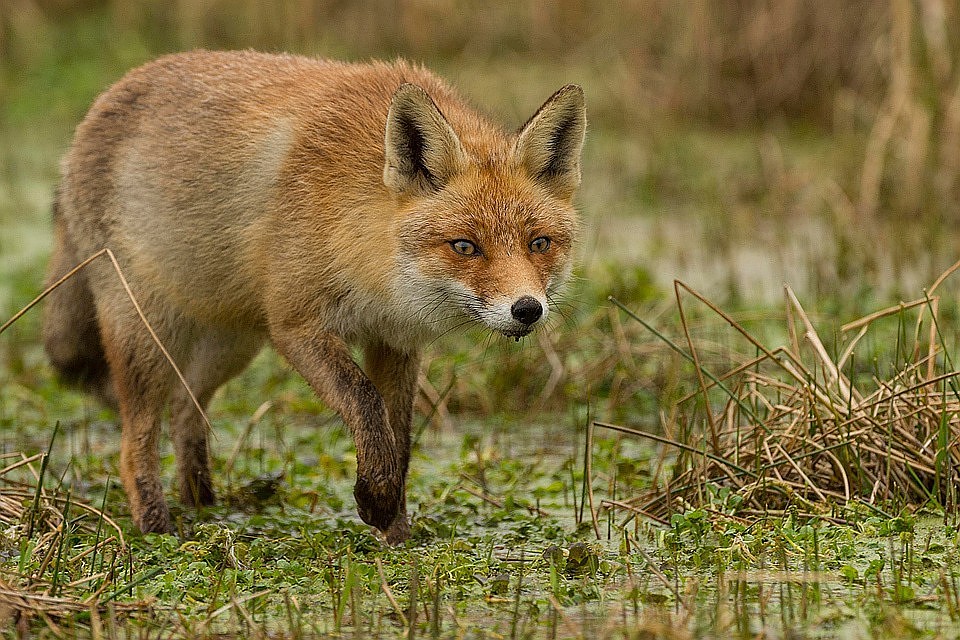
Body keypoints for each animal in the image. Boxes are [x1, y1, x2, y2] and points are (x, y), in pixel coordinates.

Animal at [41, 50, 585, 544]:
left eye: (539, 243)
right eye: (465, 246)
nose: (527, 310)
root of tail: (98, 106)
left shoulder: (395, 342)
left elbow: (399, 440)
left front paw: (396, 534)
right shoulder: (296, 326)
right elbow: (364, 402)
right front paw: (375, 501)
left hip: (231, 347)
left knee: (184, 411)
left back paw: (205, 507)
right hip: (149, 336)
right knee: (134, 444)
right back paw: (158, 530)